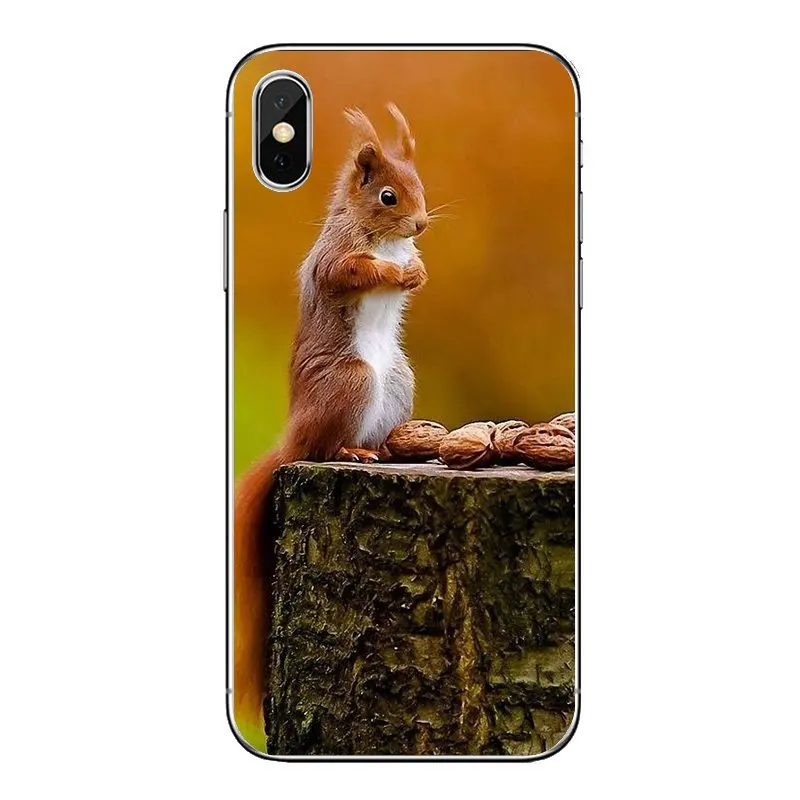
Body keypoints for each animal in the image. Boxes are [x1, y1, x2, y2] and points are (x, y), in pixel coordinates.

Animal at [233, 103, 429, 740]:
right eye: (389, 196)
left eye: (422, 188)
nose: (421, 225)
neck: (385, 241)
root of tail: (292, 435)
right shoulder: (335, 255)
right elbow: (349, 272)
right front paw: (397, 274)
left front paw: (417, 270)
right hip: (352, 383)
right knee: (323, 447)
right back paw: (351, 452)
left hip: (398, 384)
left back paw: (388, 449)